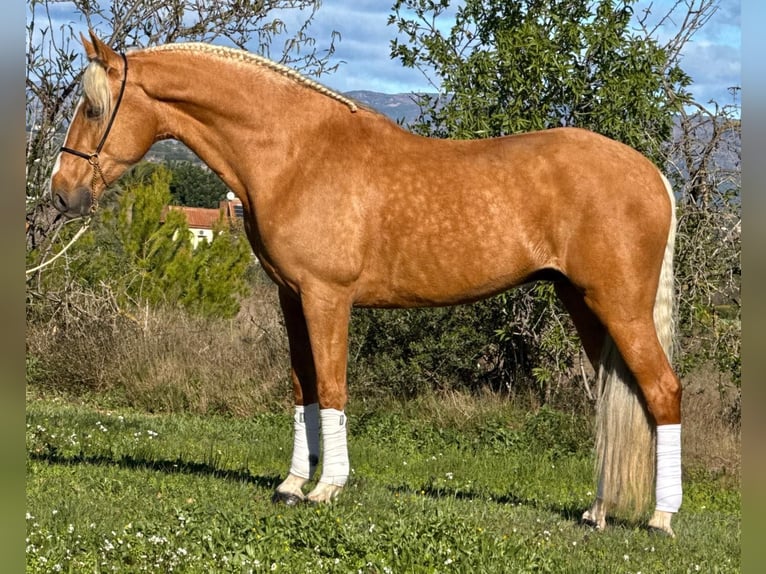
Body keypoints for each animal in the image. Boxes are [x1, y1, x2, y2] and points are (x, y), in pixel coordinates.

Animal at [50, 31, 683, 536]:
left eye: (92, 107)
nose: (62, 193)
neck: (296, 152)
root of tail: (653, 175)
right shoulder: (291, 296)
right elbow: (304, 388)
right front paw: (290, 485)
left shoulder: (327, 296)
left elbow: (332, 387)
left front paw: (327, 487)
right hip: (582, 303)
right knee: (616, 397)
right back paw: (599, 511)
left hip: (620, 306)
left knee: (662, 392)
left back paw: (660, 518)